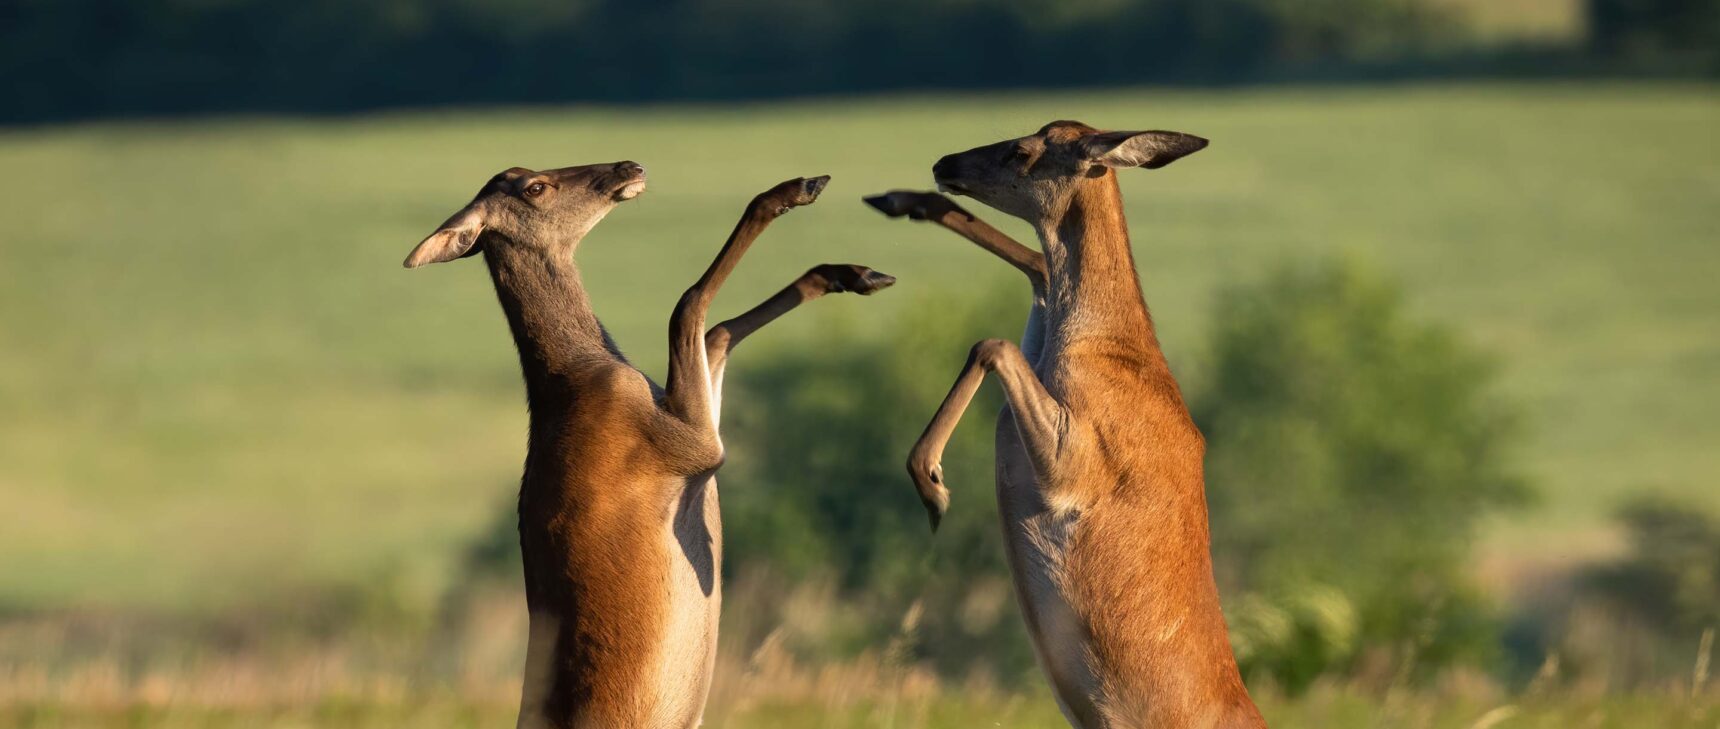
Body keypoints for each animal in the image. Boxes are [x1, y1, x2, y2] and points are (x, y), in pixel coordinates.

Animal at [397, 160, 894, 729]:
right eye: (535, 187)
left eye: (529, 170)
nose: (627, 166)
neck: (582, 376)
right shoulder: (690, 446)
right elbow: (688, 307)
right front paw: (795, 192)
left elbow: (716, 332)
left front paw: (853, 273)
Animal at [860, 121, 1265, 729]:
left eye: (1023, 151)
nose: (943, 163)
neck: (1095, 343)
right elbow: (1036, 266)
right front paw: (900, 201)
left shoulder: (1079, 461)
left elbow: (993, 341)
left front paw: (931, 482)